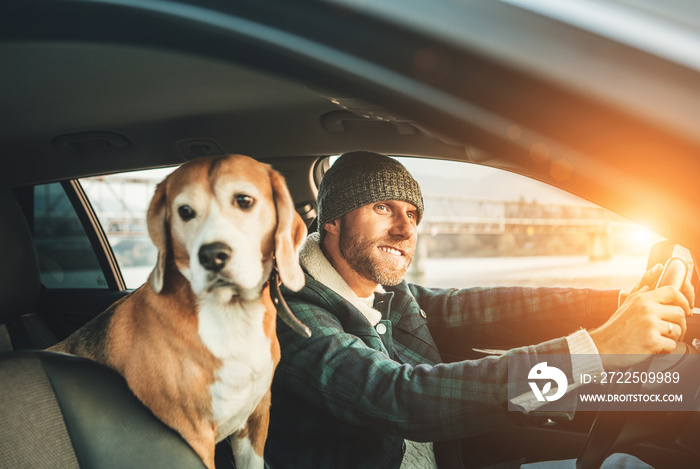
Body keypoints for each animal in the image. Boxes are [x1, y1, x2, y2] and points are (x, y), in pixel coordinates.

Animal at [49, 154, 308, 468]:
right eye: (185, 211)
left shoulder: (257, 417)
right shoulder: (194, 435)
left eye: (244, 200)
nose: (212, 255)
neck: (232, 314)